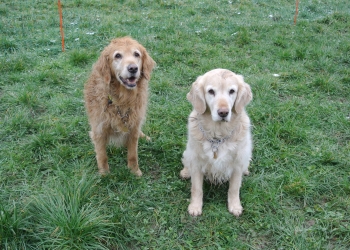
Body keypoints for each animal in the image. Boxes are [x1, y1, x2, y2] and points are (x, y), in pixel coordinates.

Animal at [180, 69, 252, 217]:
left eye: (232, 91)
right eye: (211, 91)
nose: (223, 112)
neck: (218, 136)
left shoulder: (237, 164)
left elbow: (234, 188)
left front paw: (235, 206)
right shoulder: (196, 162)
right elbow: (196, 188)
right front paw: (195, 207)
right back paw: (185, 172)